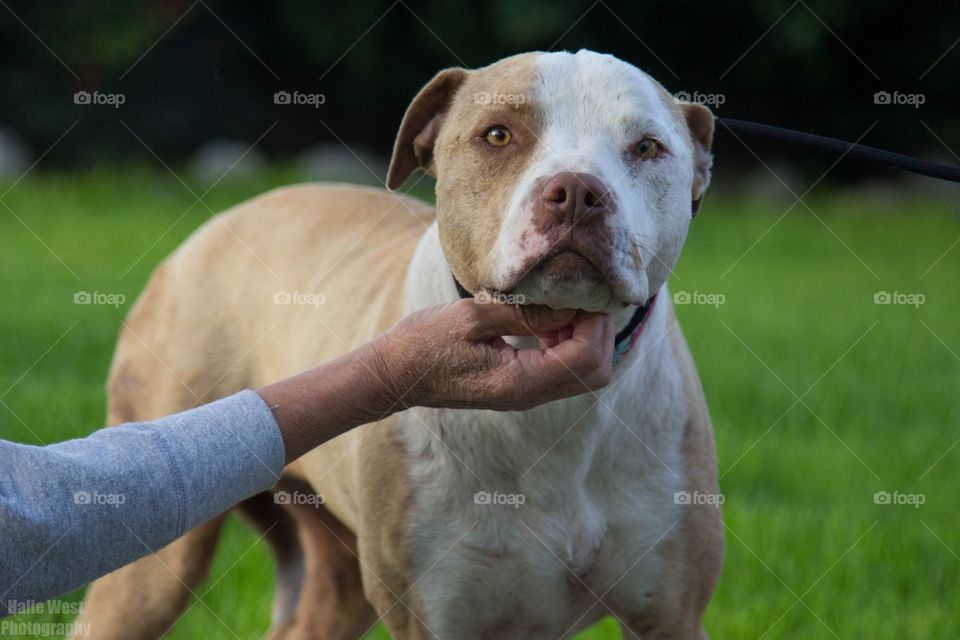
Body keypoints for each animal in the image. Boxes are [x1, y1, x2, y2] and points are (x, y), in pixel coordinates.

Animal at [77, 50, 720, 640]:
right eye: (497, 135)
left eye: (647, 147)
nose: (578, 191)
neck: (557, 416)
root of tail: (220, 221)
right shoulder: (433, 616)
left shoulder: (673, 616)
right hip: (151, 564)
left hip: (336, 569)